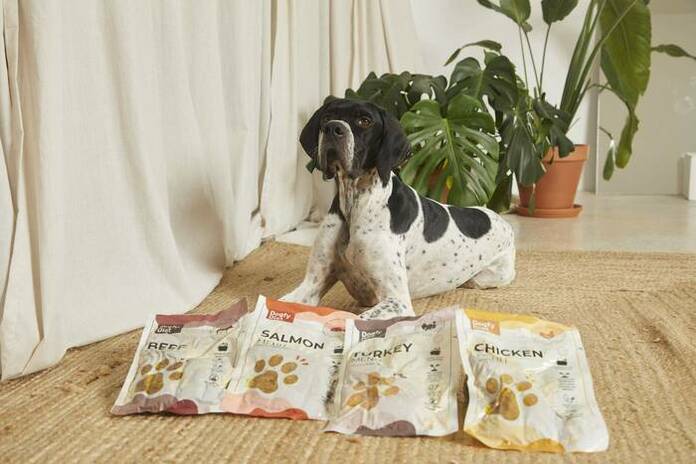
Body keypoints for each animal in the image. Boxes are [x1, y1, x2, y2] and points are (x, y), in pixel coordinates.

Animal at [281, 98, 515, 318]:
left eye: (364, 121)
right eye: (327, 117)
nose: (332, 128)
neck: (355, 204)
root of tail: (501, 220)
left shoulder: (397, 301)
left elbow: (354, 320)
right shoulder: (311, 285)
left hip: (487, 277)